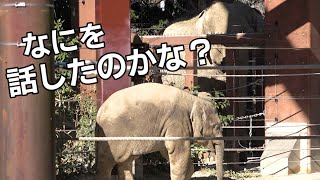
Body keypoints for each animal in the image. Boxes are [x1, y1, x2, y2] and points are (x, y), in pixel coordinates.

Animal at [95, 82, 225, 180]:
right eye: (217, 127)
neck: (193, 99)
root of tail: (99, 113)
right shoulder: (177, 121)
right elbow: (178, 151)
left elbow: (167, 151)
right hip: (114, 135)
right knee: (108, 161)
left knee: (125, 162)